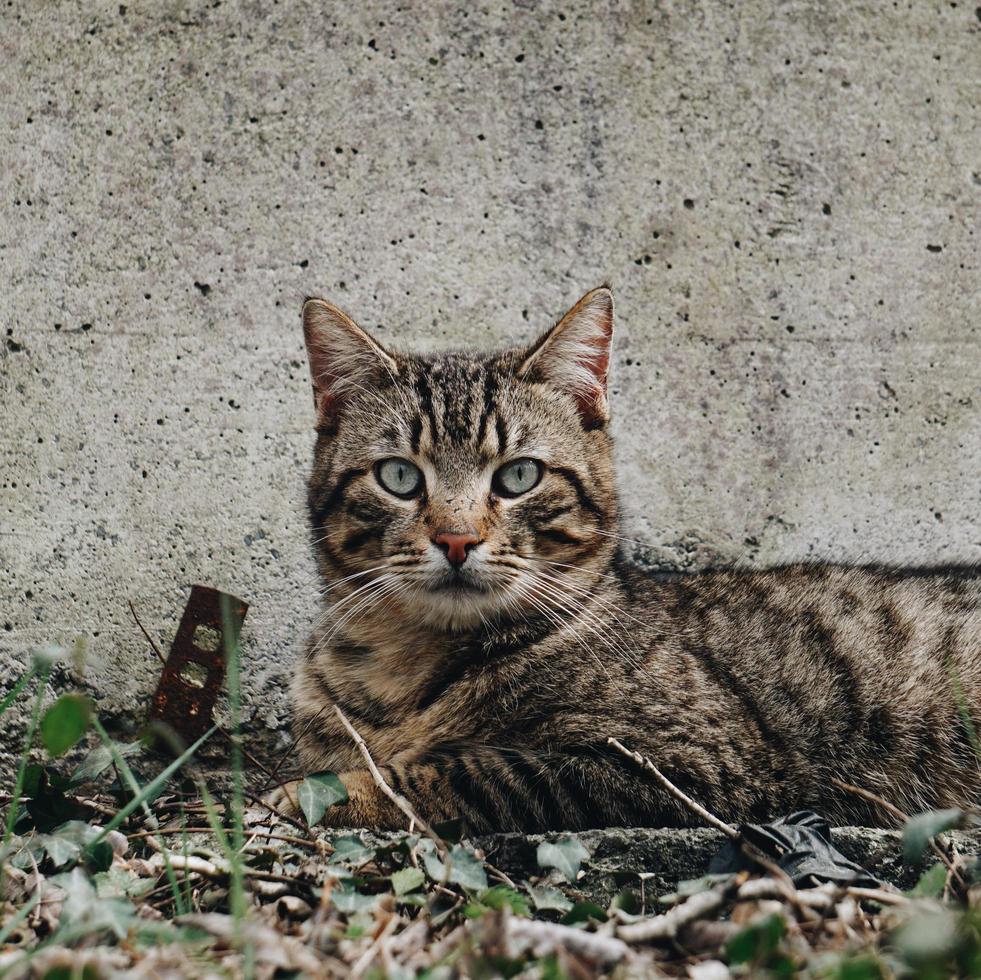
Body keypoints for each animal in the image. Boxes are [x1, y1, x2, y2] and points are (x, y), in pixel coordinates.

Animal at [268, 288, 980, 832]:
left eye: (519, 475)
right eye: (399, 476)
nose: (457, 539)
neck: (405, 667)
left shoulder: (693, 762)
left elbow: (464, 773)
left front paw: (319, 795)